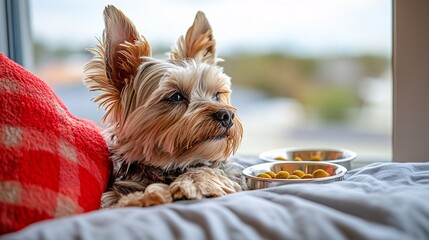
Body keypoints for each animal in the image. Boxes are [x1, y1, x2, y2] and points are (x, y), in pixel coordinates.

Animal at [83, 5, 244, 208]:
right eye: (176, 96)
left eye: (217, 95)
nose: (227, 116)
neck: (168, 169)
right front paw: (145, 196)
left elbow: (207, 169)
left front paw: (194, 182)